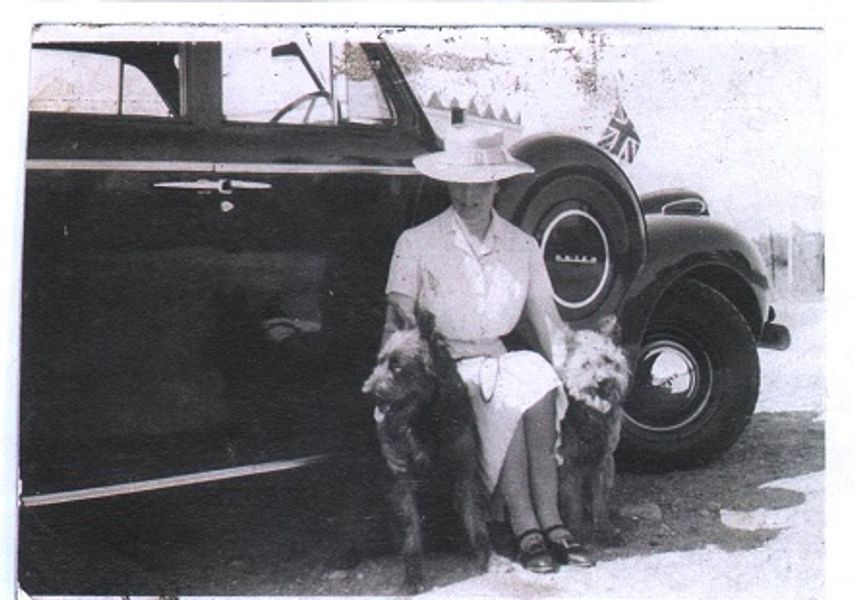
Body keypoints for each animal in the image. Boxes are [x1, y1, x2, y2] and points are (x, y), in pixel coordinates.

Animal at [362, 308, 492, 592]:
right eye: (379, 361)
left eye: (397, 366)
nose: (366, 390)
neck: (428, 417)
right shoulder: (403, 480)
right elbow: (412, 535)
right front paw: (414, 579)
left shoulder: (464, 473)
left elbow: (475, 521)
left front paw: (484, 562)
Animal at [560, 318, 632, 548]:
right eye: (585, 364)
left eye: (608, 360)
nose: (602, 381)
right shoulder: (570, 465)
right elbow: (572, 501)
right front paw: (576, 532)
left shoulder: (602, 460)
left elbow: (600, 501)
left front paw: (605, 530)